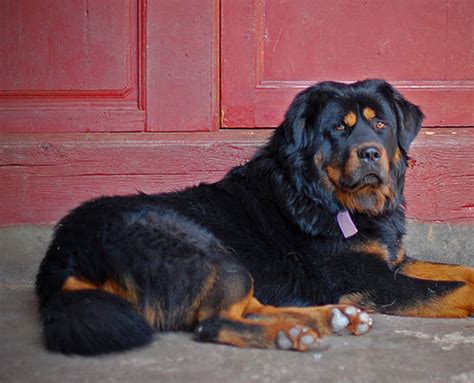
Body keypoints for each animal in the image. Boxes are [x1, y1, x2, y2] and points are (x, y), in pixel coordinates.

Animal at [37, 79, 474, 356]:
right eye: (338, 128)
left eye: (381, 123)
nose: (369, 152)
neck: (331, 201)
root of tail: (64, 250)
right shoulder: (371, 280)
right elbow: (452, 288)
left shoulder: (393, 261)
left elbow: (459, 272)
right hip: (210, 252)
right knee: (213, 321)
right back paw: (291, 334)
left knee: (247, 305)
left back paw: (324, 320)